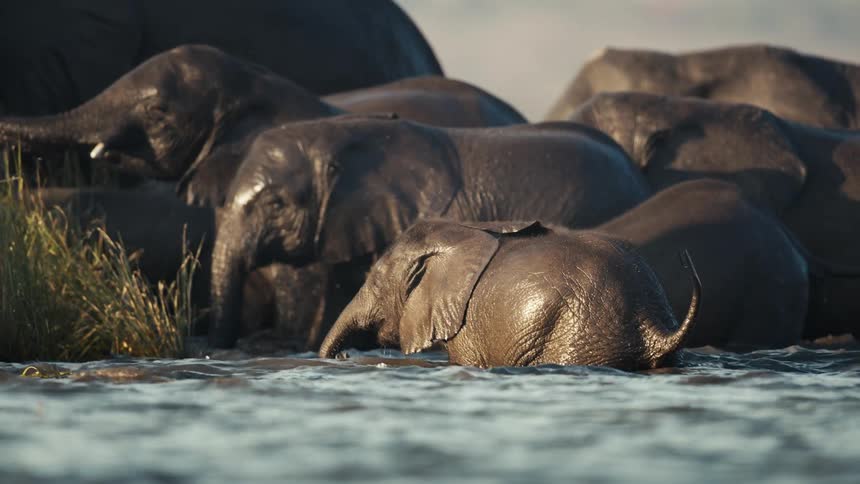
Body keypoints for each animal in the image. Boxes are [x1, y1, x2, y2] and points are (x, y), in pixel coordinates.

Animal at [318, 220, 701, 370]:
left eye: (375, 280)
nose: (345, 357)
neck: (458, 230)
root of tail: (652, 328)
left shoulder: (466, 328)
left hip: (581, 336)